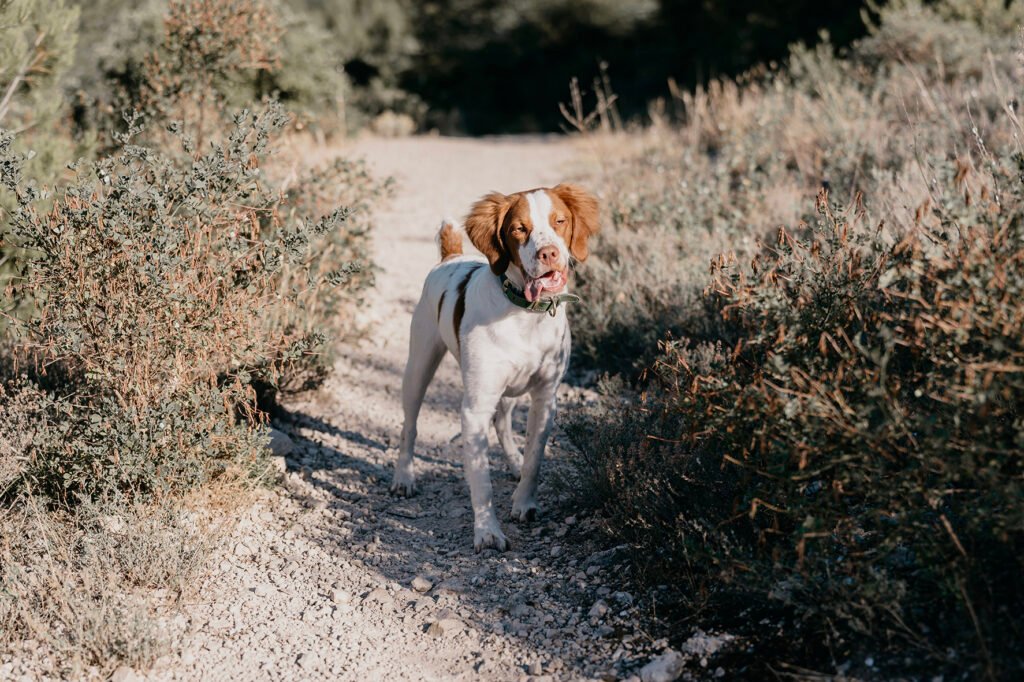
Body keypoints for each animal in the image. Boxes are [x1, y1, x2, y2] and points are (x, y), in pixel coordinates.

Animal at [391, 183, 598, 548]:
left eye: (559, 221)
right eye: (519, 228)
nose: (549, 254)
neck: (524, 313)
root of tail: (451, 256)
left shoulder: (545, 397)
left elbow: (535, 459)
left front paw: (524, 503)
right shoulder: (475, 407)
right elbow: (481, 480)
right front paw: (487, 531)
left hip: (511, 389)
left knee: (503, 422)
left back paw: (513, 462)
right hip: (419, 366)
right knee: (409, 426)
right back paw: (404, 477)